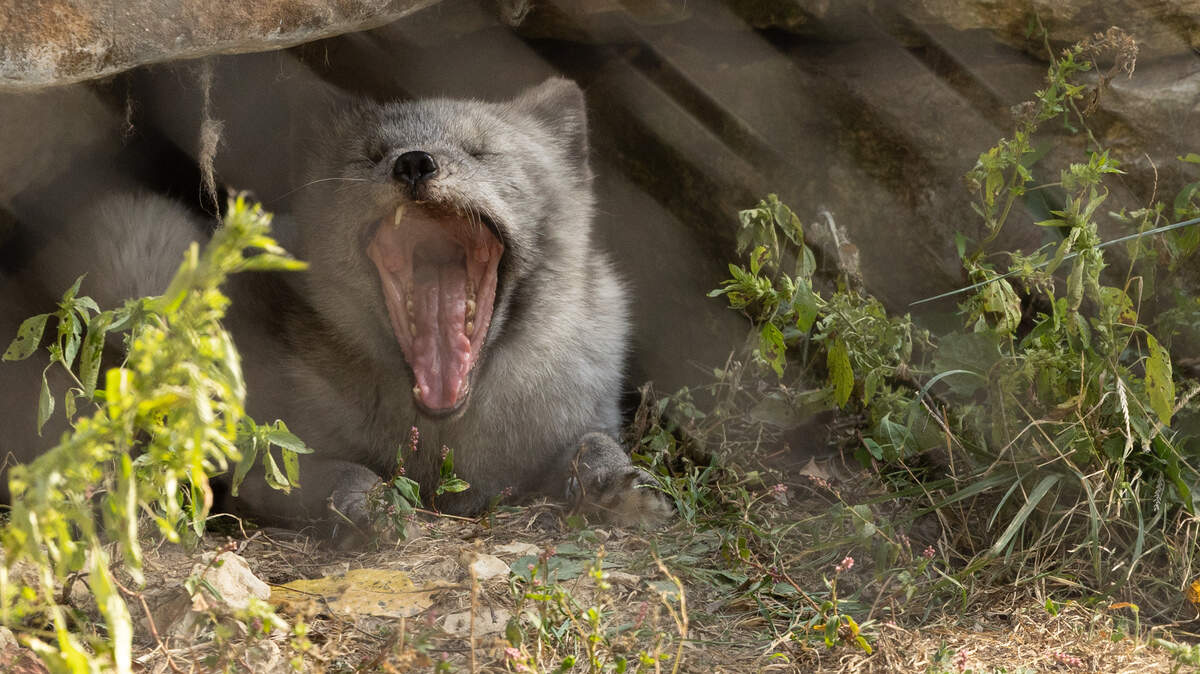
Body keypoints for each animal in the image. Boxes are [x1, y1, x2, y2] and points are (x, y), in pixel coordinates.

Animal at [0, 77, 671, 534]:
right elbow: (333, 471)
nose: (414, 162)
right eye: (370, 155)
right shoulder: (257, 453)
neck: (438, 438)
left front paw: (621, 484)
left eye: (481, 152)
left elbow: (593, 444)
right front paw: (369, 505)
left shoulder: (574, 420)